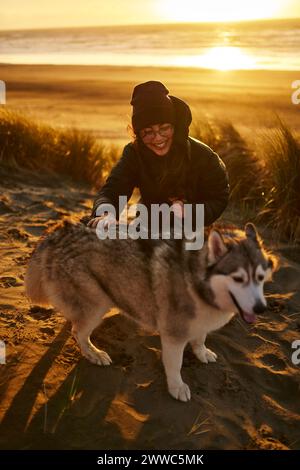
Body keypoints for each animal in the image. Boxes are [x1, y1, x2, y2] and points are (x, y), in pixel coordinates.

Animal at [25, 222, 276, 402]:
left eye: (260, 277)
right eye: (238, 279)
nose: (261, 308)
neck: (197, 284)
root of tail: (60, 229)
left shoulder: (199, 323)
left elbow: (200, 338)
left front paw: (202, 352)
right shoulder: (174, 334)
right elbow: (175, 365)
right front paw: (177, 387)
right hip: (98, 303)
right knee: (79, 332)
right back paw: (94, 353)